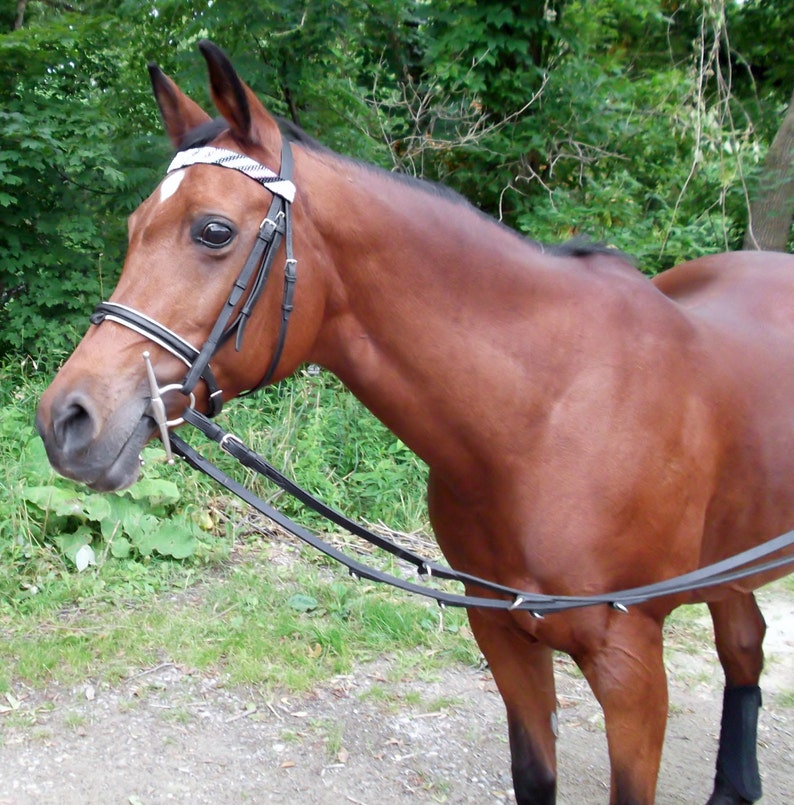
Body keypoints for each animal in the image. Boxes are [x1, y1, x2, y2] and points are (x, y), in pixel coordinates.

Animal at [36, 41, 793, 804]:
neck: (549, 417)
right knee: (744, 640)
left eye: (213, 230)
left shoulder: (631, 663)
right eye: (133, 230)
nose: (64, 418)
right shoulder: (502, 633)